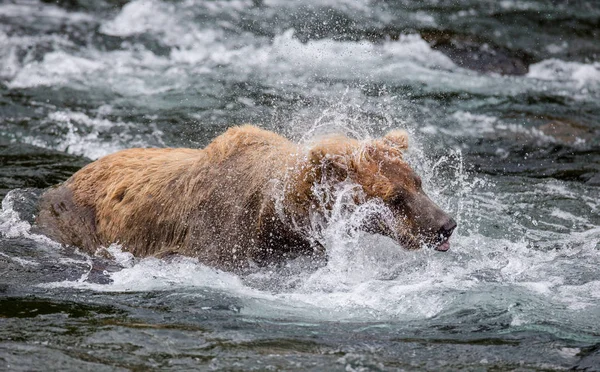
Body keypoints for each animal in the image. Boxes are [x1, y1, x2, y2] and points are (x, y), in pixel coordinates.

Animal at [37, 125, 458, 274]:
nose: (446, 224)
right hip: (74, 219)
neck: (276, 215)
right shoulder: (218, 233)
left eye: (418, 182)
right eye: (394, 197)